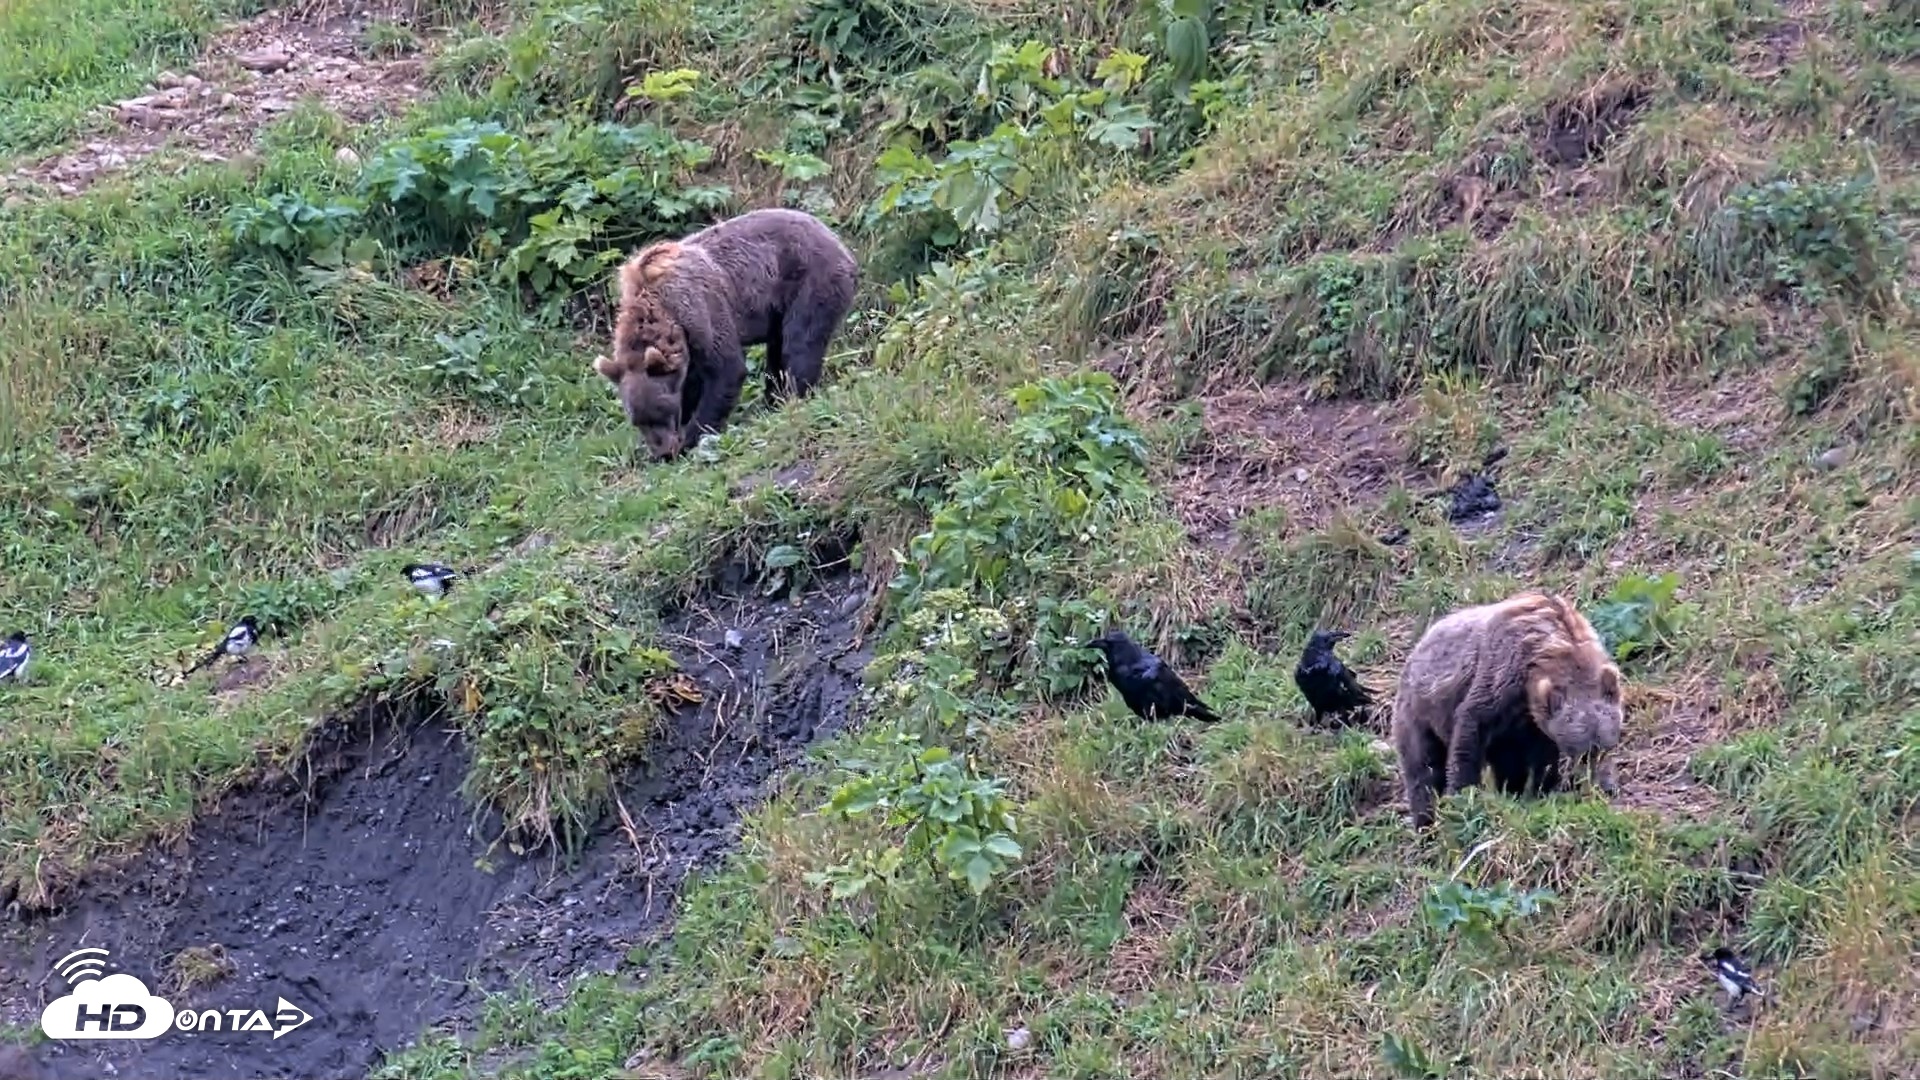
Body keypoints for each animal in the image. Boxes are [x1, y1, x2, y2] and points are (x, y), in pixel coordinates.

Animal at [594, 207, 860, 461]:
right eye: (638, 421)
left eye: (662, 411)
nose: (663, 452)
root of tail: (836, 239)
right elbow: (692, 381)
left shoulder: (700, 310)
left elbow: (726, 370)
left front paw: (691, 437)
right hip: (778, 307)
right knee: (777, 350)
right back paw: (772, 401)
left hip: (809, 280)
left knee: (800, 342)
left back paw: (794, 396)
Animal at [1390, 590, 1624, 828]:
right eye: (1583, 753)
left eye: (1609, 746)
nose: (1606, 788)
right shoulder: (1500, 675)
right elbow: (1469, 729)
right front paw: (1464, 796)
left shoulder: (1533, 720)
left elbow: (1543, 756)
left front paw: (1543, 789)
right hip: (1419, 710)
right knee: (1423, 766)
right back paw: (1425, 820)